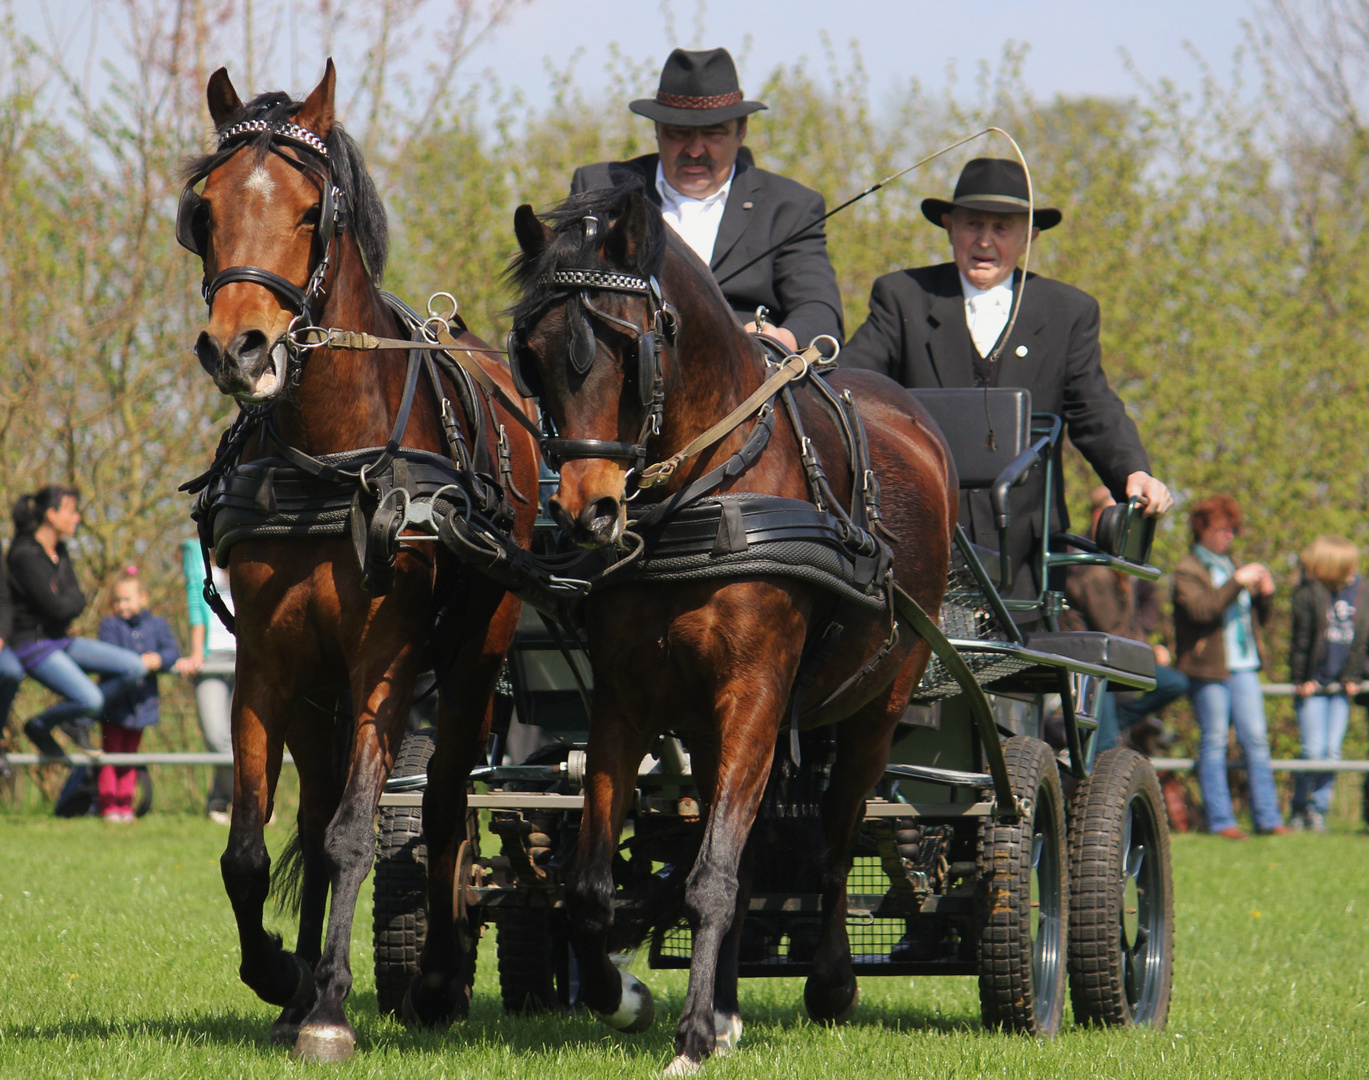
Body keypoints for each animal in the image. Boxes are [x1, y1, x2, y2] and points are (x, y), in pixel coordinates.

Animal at [180, 63, 539, 1056]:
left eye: (313, 212)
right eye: (205, 211)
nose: (239, 349)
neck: (330, 455)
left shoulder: (386, 653)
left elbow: (354, 831)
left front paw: (334, 1008)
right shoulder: (267, 658)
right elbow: (251, 847)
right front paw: (283, 977)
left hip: (469, 661)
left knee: (446, 805)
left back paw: (438, 979)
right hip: (316, 687)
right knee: (309, 813)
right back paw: (302, 985)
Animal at [509, 184, 958, 1067]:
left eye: (628, 347)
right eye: (532, 355)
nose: (587, 513)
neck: (704, 492)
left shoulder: (753, 688)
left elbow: (711, 875)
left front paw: (686, 1036)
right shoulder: (626, 700)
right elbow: (590, 885)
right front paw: (627, 999)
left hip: (874, 708)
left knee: (833, 840)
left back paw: (827, 984)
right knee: (751, 848)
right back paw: (722, 1009)